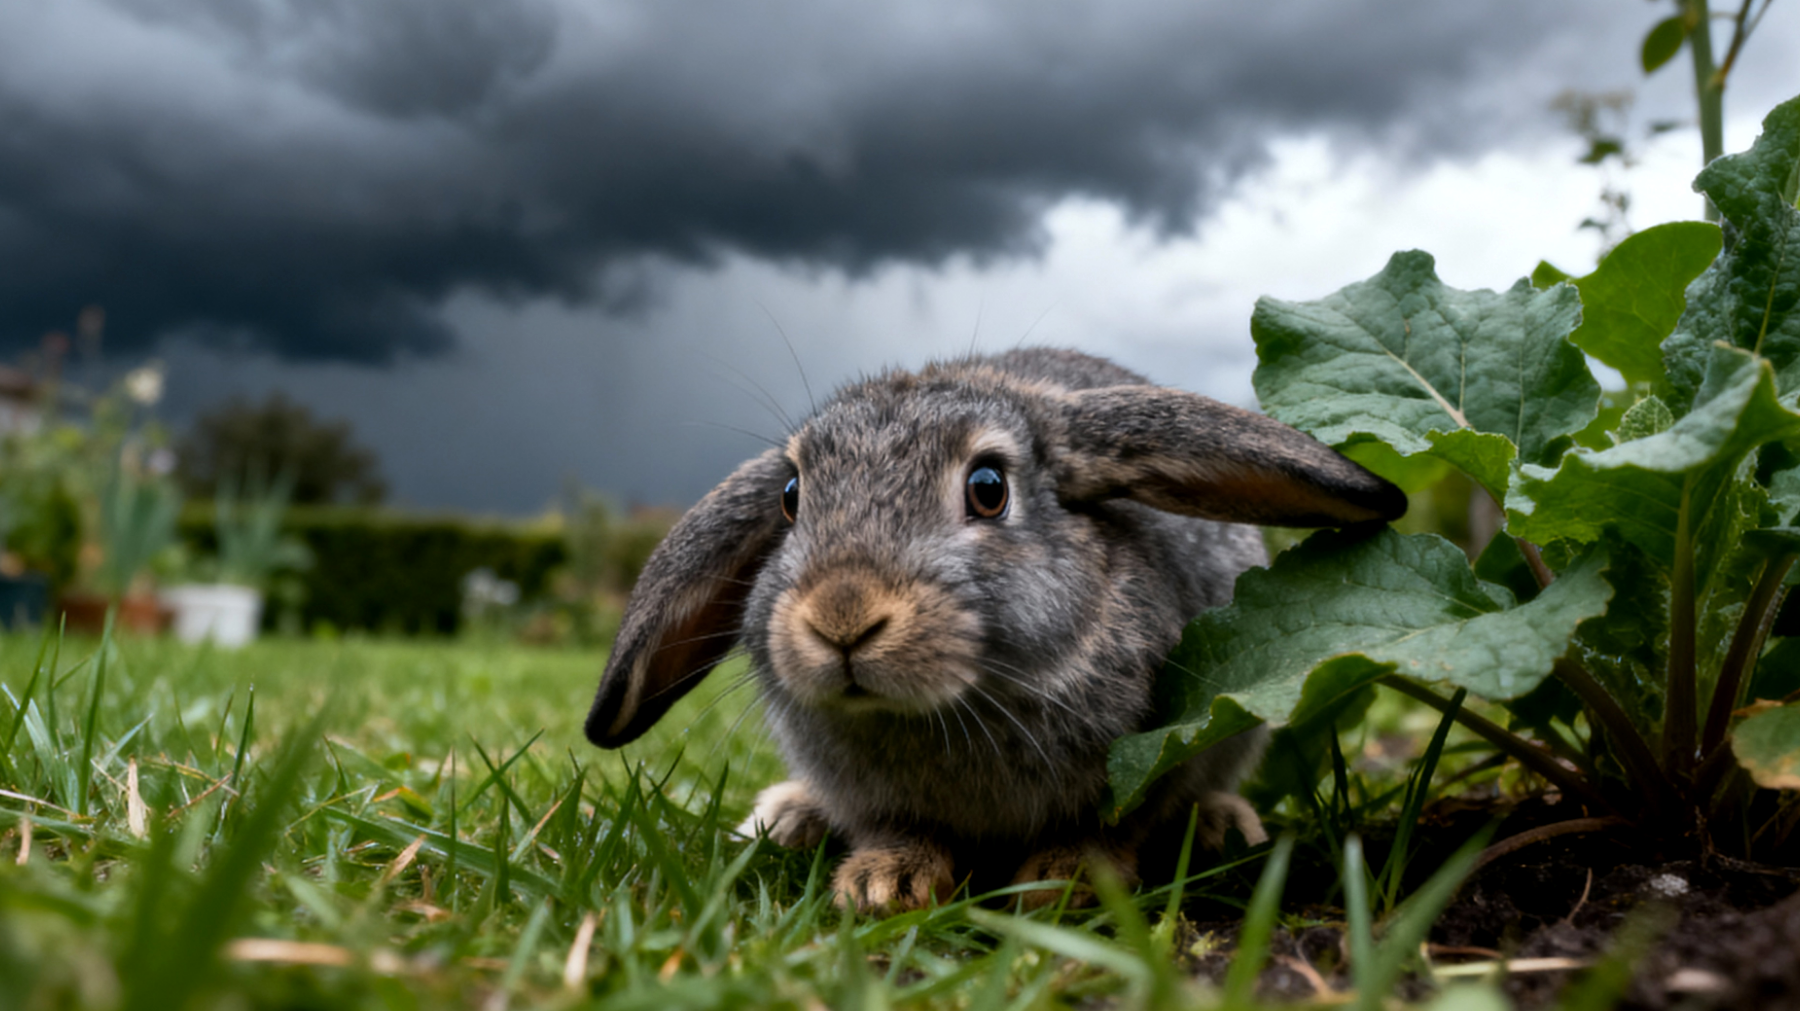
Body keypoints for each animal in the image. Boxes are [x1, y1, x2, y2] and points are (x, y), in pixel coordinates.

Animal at [584, 347, 1405, 912]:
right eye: (790, 497)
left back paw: (1224, 825)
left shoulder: (1154, 759)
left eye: (988, 488)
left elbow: (1112, 828)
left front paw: (1058, 881)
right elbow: (897, 830)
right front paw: (884, 884)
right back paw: (786, 817)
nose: (843, 617)